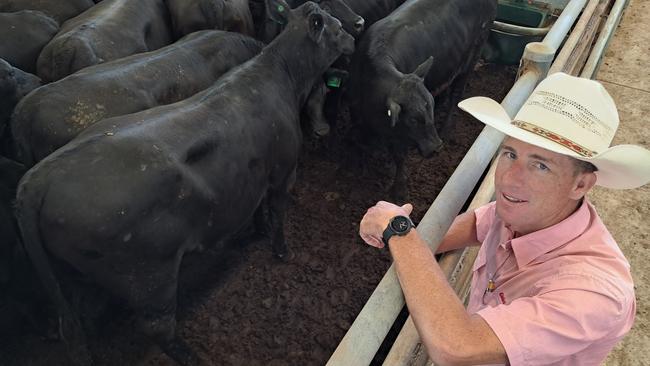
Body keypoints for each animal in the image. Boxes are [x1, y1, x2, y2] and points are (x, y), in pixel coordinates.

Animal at [346, 0, 494, 200]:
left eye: (427, 110)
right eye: (412, 120)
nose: (436, 148)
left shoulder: (400, 134)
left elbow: (400, 156)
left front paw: (399, 190)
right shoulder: (356, 114)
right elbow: (360, 142)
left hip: (472, 57)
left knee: (456, 94)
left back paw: (446, 128)